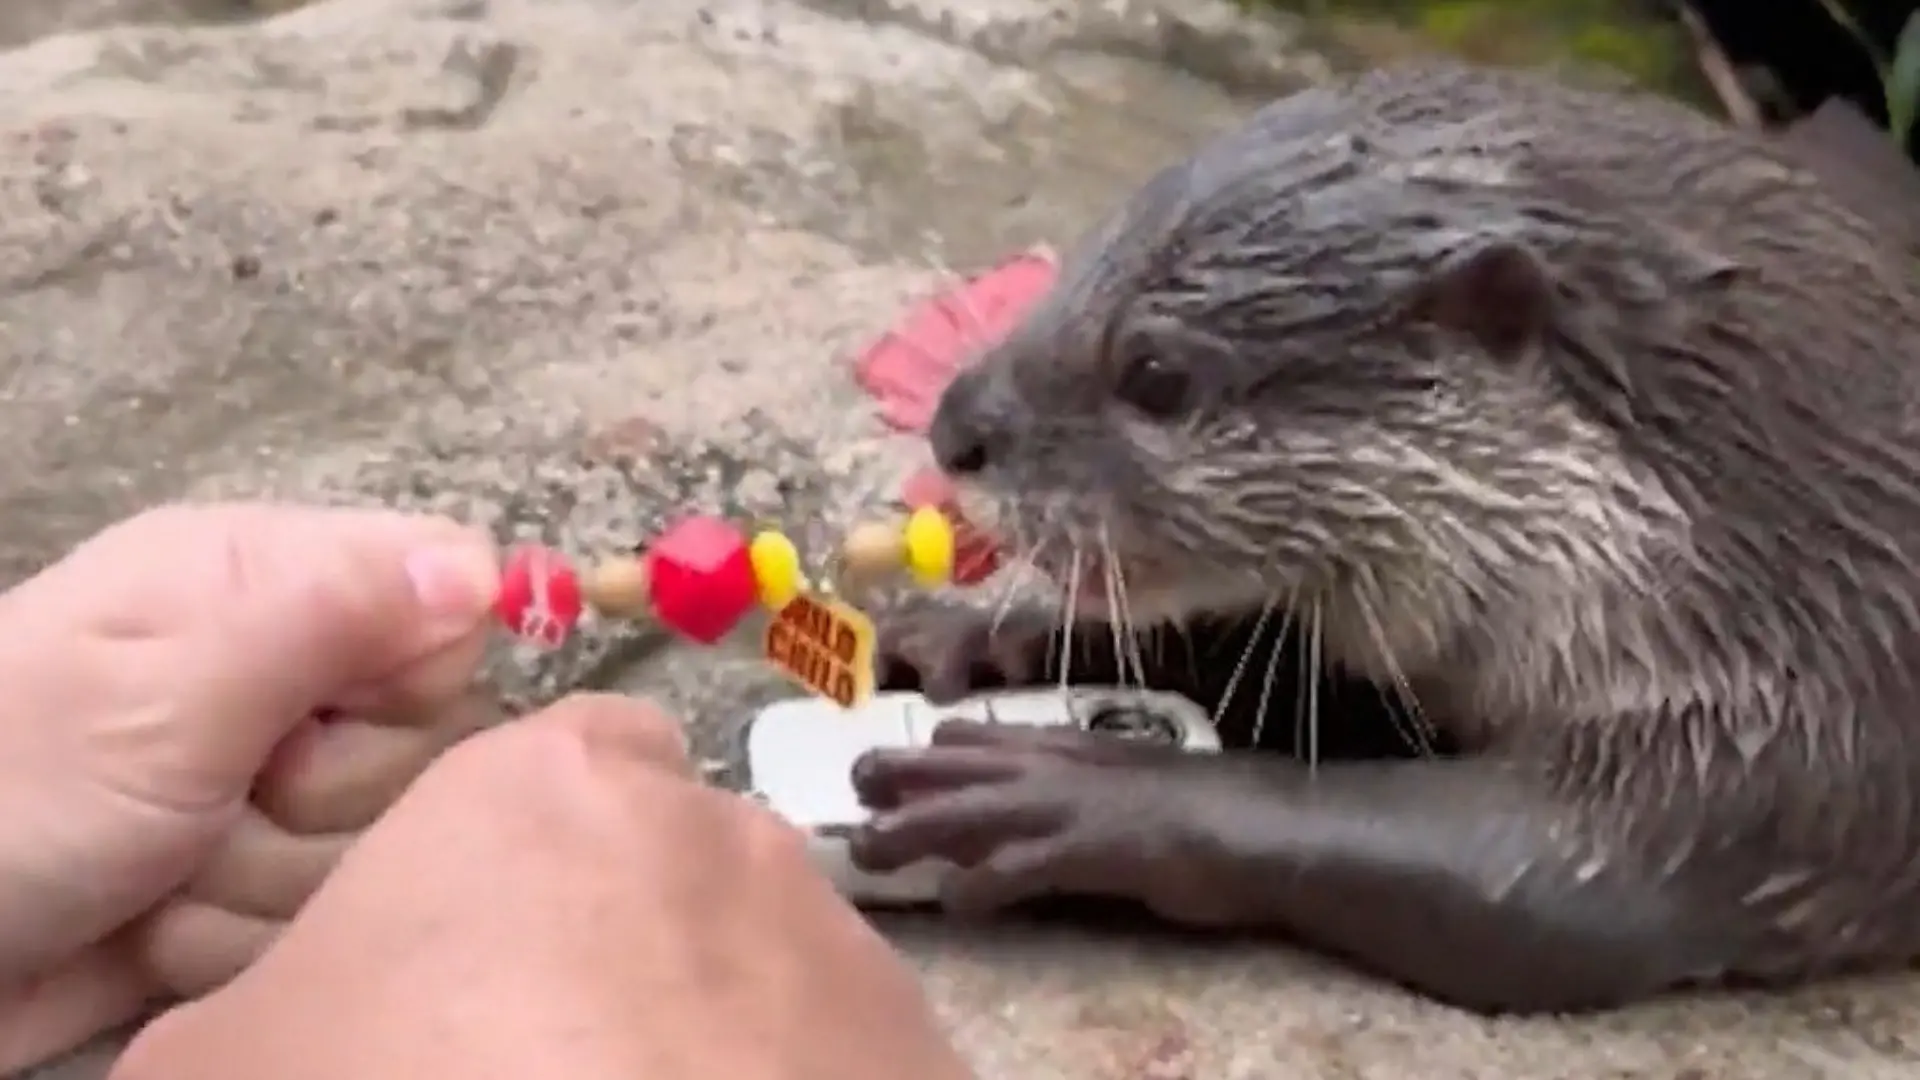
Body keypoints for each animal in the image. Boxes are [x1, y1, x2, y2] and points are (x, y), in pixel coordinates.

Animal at [842, 63, 1920, 1016]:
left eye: (1154, 373)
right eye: (1078, 263)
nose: (956, 426)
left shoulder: (1782, 740)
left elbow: (1527, 882)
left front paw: (1091, 791)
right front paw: (980, 642)